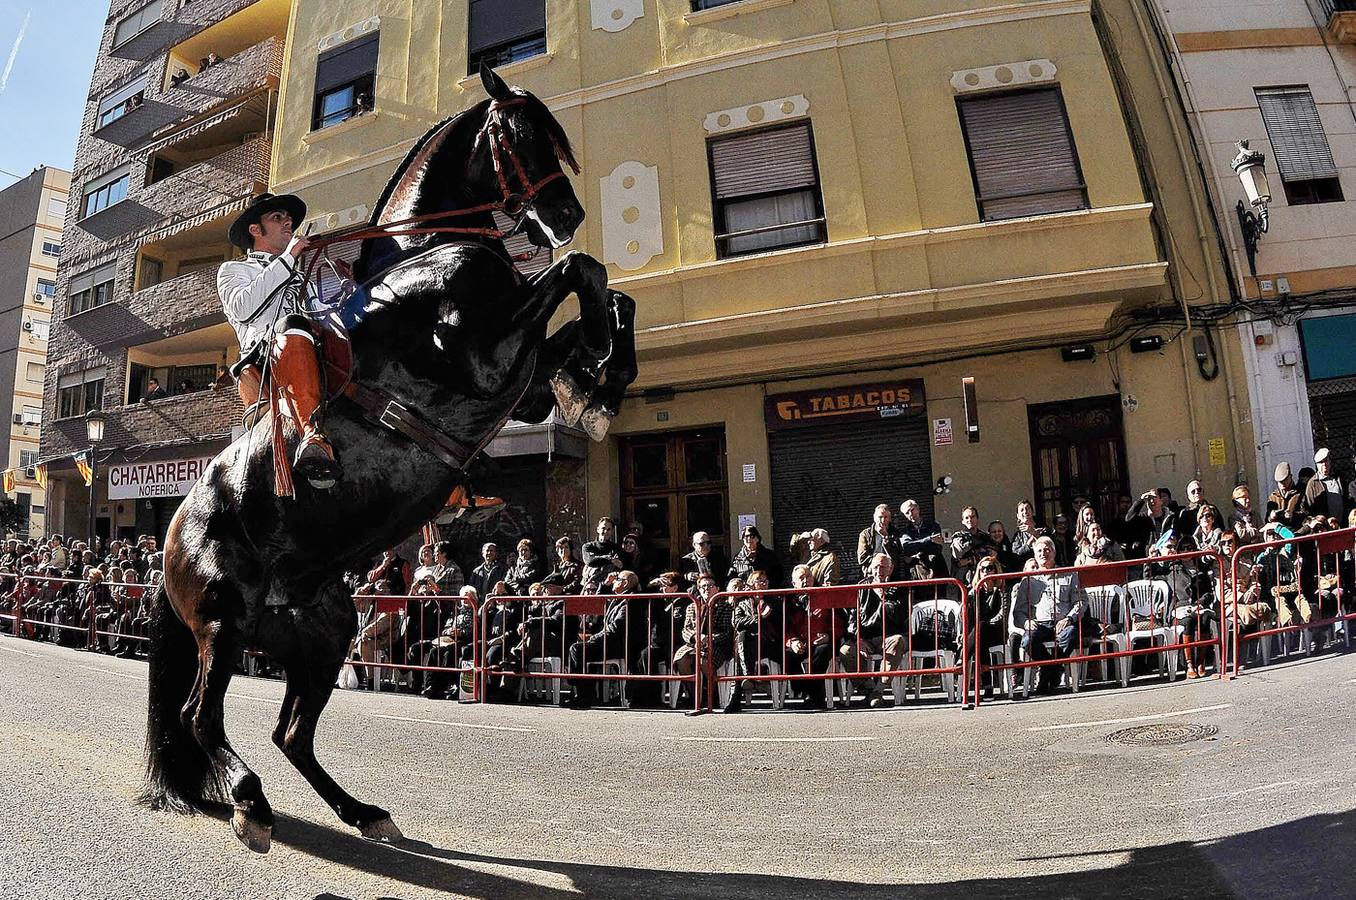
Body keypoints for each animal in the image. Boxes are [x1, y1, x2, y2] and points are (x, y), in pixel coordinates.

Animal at [140, 66, 637, 856]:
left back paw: (361, 811)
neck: (422, 252)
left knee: (290, 732)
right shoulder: (479, 356)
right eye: (517, 132)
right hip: (223, 618)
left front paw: (600, 380)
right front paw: (597, 362)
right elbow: (579, 271)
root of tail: (168, 542)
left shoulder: (516, 385)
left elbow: (607, 294)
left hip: (324, 632)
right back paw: (250, 803)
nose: (564, 211)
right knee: (200, 715)